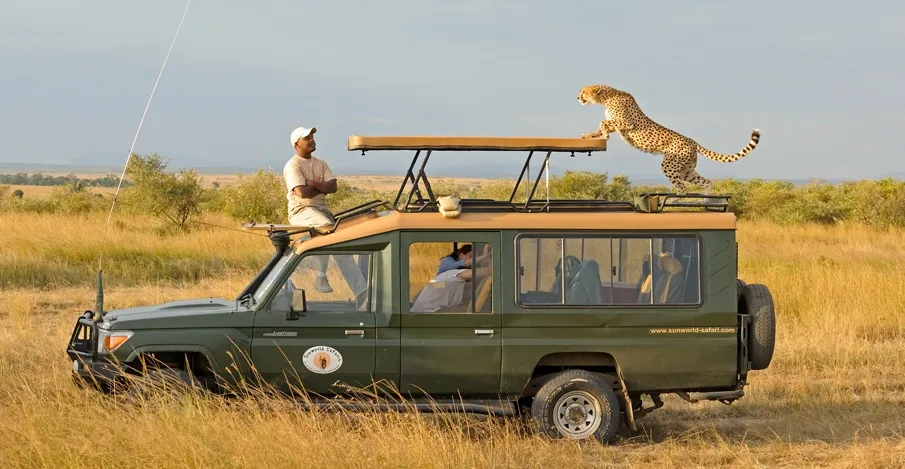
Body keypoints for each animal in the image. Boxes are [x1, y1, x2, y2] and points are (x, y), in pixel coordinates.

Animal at [576, 83, 760, 195]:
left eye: (584, 91)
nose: (577, 97)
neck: (607, 97)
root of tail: (693, 141)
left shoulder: (626, 123)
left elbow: (603, 122)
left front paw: (604, 134)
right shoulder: (619, 125)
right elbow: (600, 127)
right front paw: (588, 135)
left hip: (670, 166)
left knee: (684, 189)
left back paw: (674, 200)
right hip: (686, 170)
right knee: (706, 182)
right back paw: (706, 200)